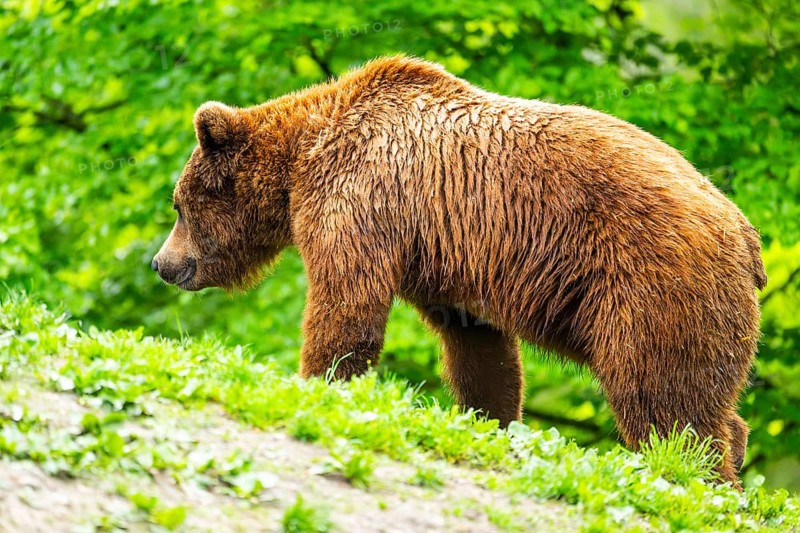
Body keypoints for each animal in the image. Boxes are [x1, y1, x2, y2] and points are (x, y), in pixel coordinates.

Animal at [152, 56, 766, 487]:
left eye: (178, 205)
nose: (161, 263)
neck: (300, 163)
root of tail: (744, 232)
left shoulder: (361, 201)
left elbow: (346, 309)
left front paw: (317, 381)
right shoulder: (445, 261)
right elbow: (479, 351)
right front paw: (490, 418)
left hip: (650, 282)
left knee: (662, 397)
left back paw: (697, 475)